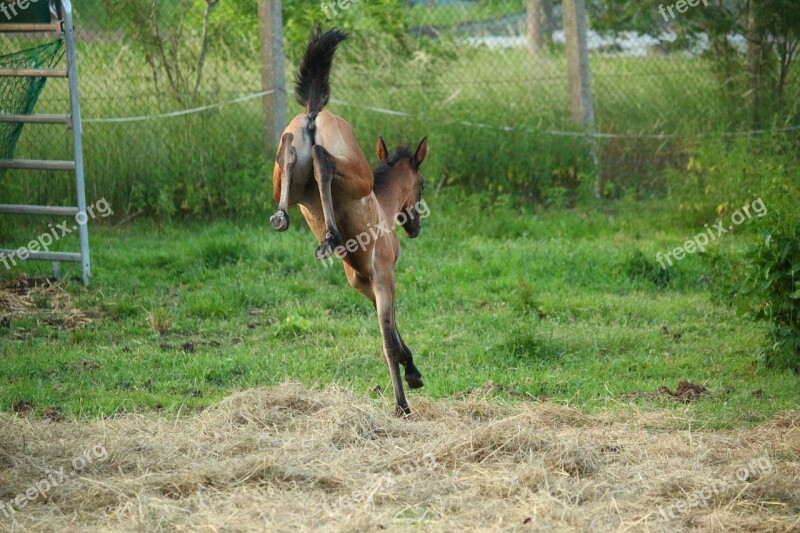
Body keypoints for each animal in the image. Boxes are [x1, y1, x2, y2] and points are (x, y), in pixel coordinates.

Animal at [268, 27, 432, 414]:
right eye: (423, 184)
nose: (414, 227)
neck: (383, 206)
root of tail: (314, 113)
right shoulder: (383, 278)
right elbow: (389, 339)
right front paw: (407, 389)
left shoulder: (363, 283)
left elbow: (390, 333)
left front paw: (412, 372)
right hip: (356, 173)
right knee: (322, 160)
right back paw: (329, 235)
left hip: (285, 179)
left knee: (290, 152)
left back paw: (285, 217)